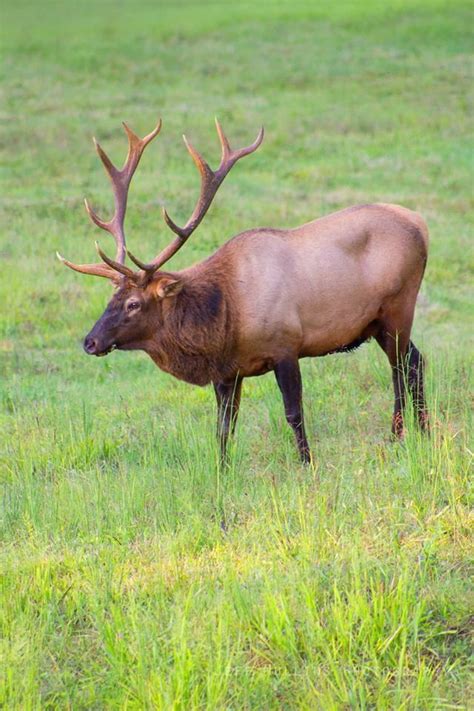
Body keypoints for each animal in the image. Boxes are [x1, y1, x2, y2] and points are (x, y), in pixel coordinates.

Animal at [58, 117, 430, 464]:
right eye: (111, 299)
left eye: (134, 304)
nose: (90, 342)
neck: (223, 323)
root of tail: (421, 223)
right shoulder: (227, 372)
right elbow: (224, 428)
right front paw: (222, 471)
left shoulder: (286, 346)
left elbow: (293, 413)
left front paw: (307, 462)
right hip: (376, 323)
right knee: (414, 361)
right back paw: (419, 430)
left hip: (398, 307)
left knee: (402, 368)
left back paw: (401, 434)